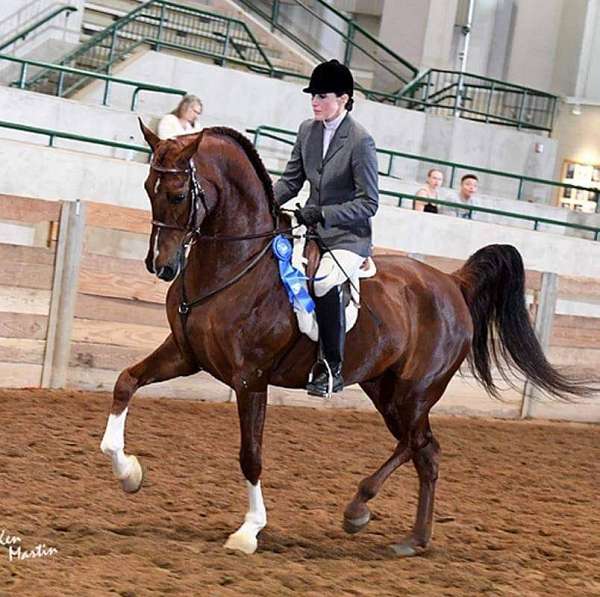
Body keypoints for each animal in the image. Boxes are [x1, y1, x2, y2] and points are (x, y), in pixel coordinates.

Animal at [101, 123, 592, 556]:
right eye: (147, 188)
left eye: (178, 194)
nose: (160, 266)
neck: (234, 265)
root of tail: (452, 282)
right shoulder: (186, 355)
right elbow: (126, 382)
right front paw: (129, 472)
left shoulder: (250, 379)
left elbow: (251, 455)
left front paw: (249, 531)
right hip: (384, 389)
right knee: (426, 452)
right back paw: (413, 540)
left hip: (415, 391)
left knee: (417, 444)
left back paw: (359, 509)